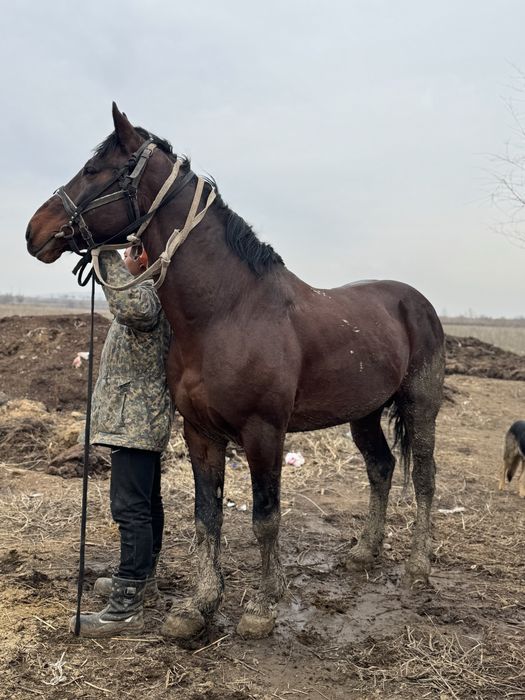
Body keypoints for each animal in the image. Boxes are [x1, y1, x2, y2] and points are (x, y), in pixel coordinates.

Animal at [26, 103, 445, 641]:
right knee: (382, 469)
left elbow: (266, 518)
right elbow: (207, 517)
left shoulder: (264, 433)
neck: (228, 311)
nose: (34, 230)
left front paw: (263, 607)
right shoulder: (200, 432)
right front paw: (198, 606)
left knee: (424, 480)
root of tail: (417, 302)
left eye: (96, 170)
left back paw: (418, 568)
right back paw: (364, 552)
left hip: (420, 407)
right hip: (364, 413)